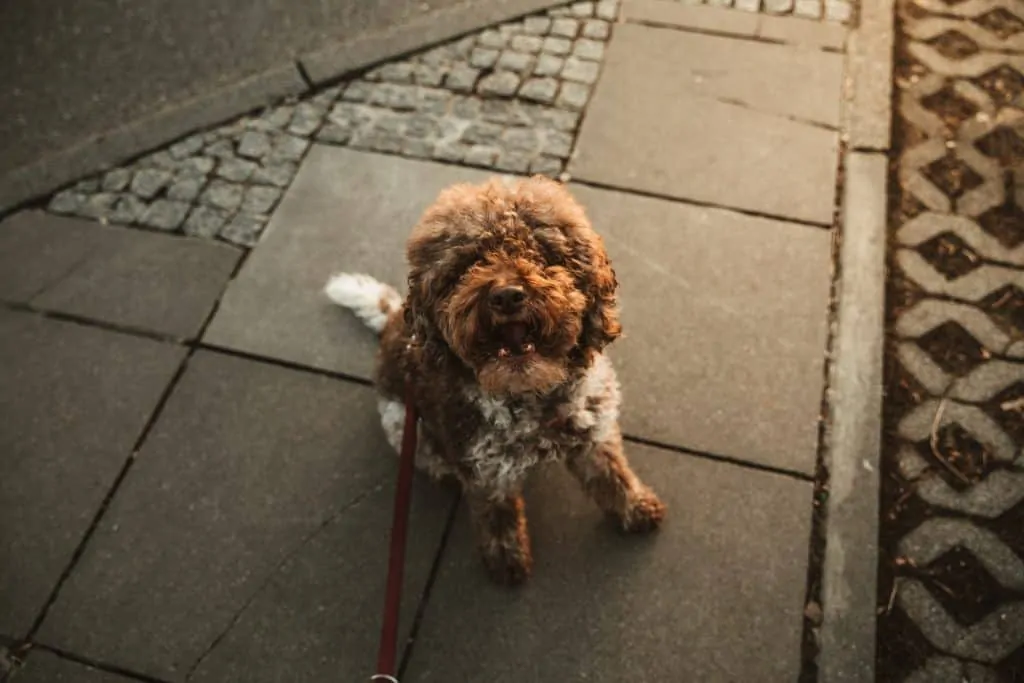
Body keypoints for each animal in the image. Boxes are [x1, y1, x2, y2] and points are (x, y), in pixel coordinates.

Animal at [323, 175, 667, 581]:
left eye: (540, 252)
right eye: (468, 263)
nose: (506, 296)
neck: (530, 397)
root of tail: (393, 319)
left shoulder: (593, 429)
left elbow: (613, 474)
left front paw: (636, 508)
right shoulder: (486, 471)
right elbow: (496, 516)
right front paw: (506, 561)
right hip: (405, 426)